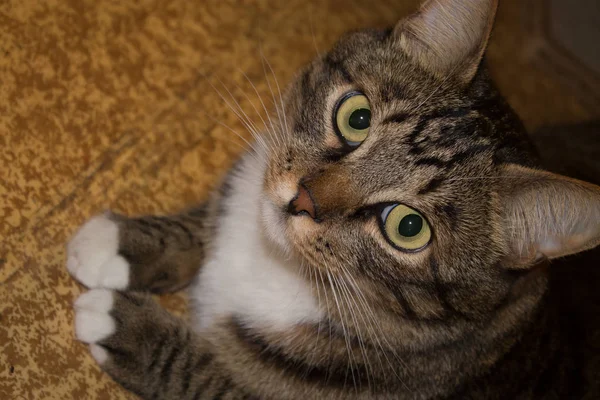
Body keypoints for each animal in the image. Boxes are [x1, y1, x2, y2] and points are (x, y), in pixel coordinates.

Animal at [65, 0, 600, 398]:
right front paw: (122, 245)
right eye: (356, 117)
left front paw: (124, 325)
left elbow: (204, 375)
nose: (301, 200)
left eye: (408, 227)